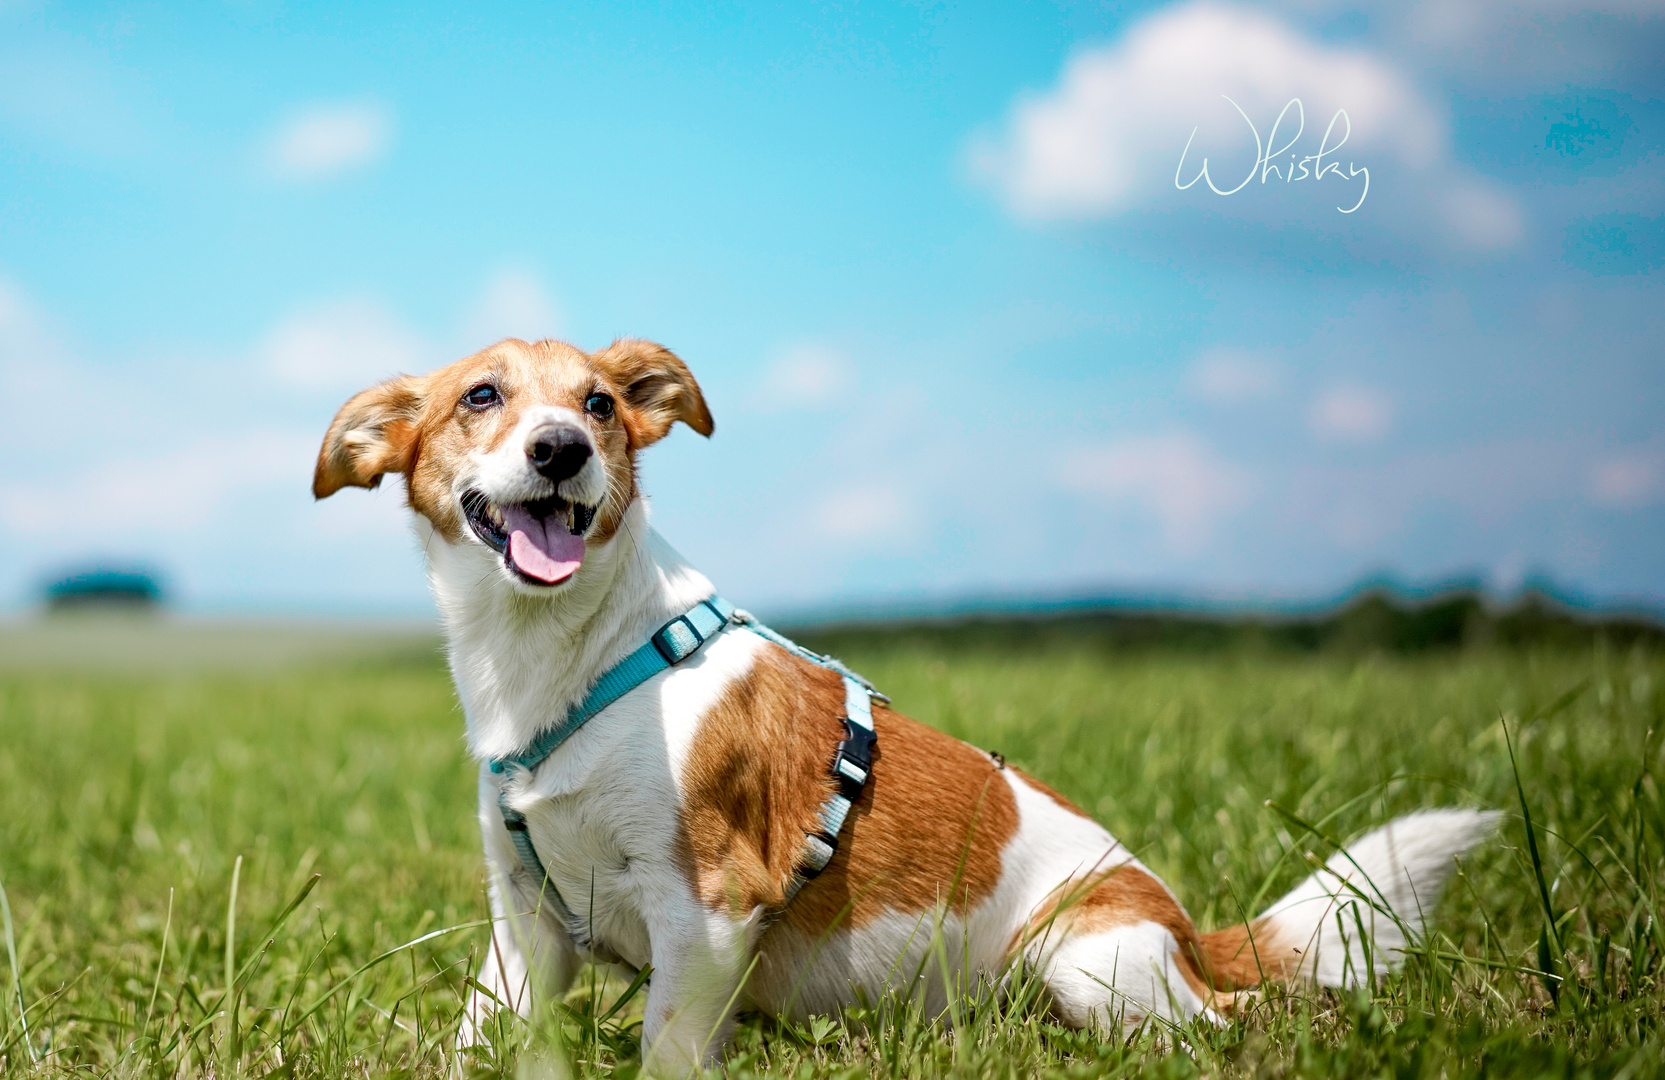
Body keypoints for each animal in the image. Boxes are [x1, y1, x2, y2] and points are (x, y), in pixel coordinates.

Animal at [313, 334, 1498, 1071]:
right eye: (482, 397)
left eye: (598, 405)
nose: (560, 448)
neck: (564, 659)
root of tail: (1191, 931)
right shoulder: (525, 919)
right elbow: (484, 1034)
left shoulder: (708, 906)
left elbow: (667, 1047)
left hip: (1088, 962)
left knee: (1230, 1025)